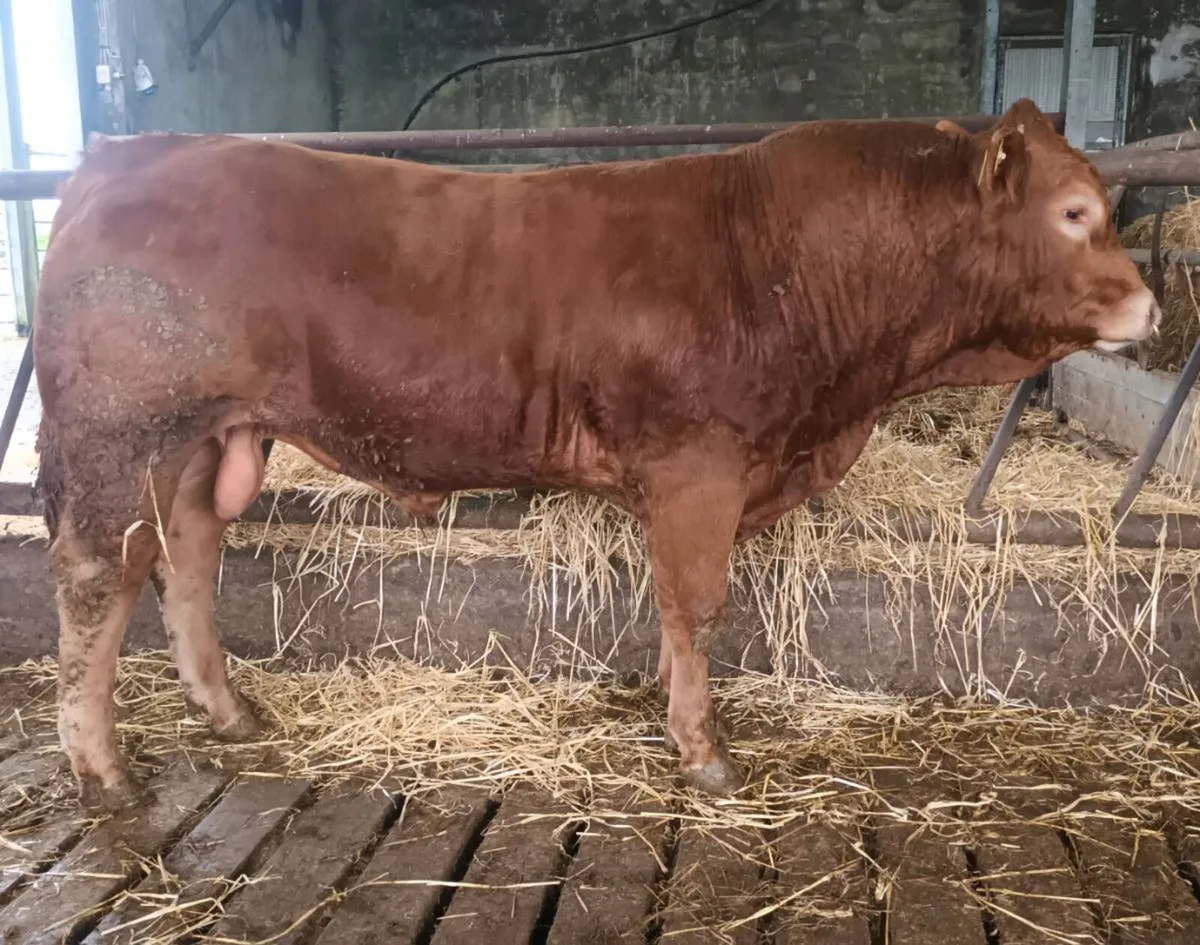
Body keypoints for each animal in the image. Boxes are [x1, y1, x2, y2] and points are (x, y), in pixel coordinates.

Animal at [32, 99, 1158, 810]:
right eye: (1074, 213)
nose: (1150, 307)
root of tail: (122, 155)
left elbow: (670, 607)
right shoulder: (701, 464)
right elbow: (698, 603)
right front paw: (704, 751)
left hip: (201, 440)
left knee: (183, 560)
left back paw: (228, 713)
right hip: (123, 433)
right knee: (95, 583)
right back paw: (102, 770)